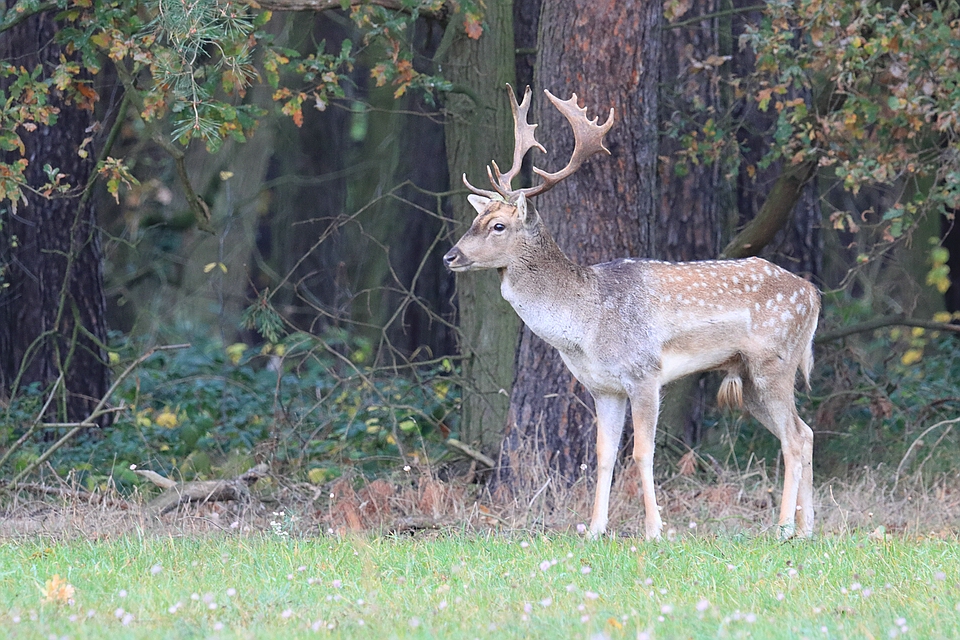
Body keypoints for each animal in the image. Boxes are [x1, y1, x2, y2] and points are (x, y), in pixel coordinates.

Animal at [446, 85, 820, 544]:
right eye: (475, 217)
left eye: (498, 225)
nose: (450, 256)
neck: (585, 324)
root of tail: (813, 294)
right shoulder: (603, 387)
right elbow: (604, 455)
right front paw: (594, 530)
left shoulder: (644, 372)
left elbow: (643, 451)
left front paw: (655, 530)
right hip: (749, 378)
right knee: (805, 431)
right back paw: (807, 528)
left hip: (774, 361)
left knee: (794, 438)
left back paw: (783, 527)